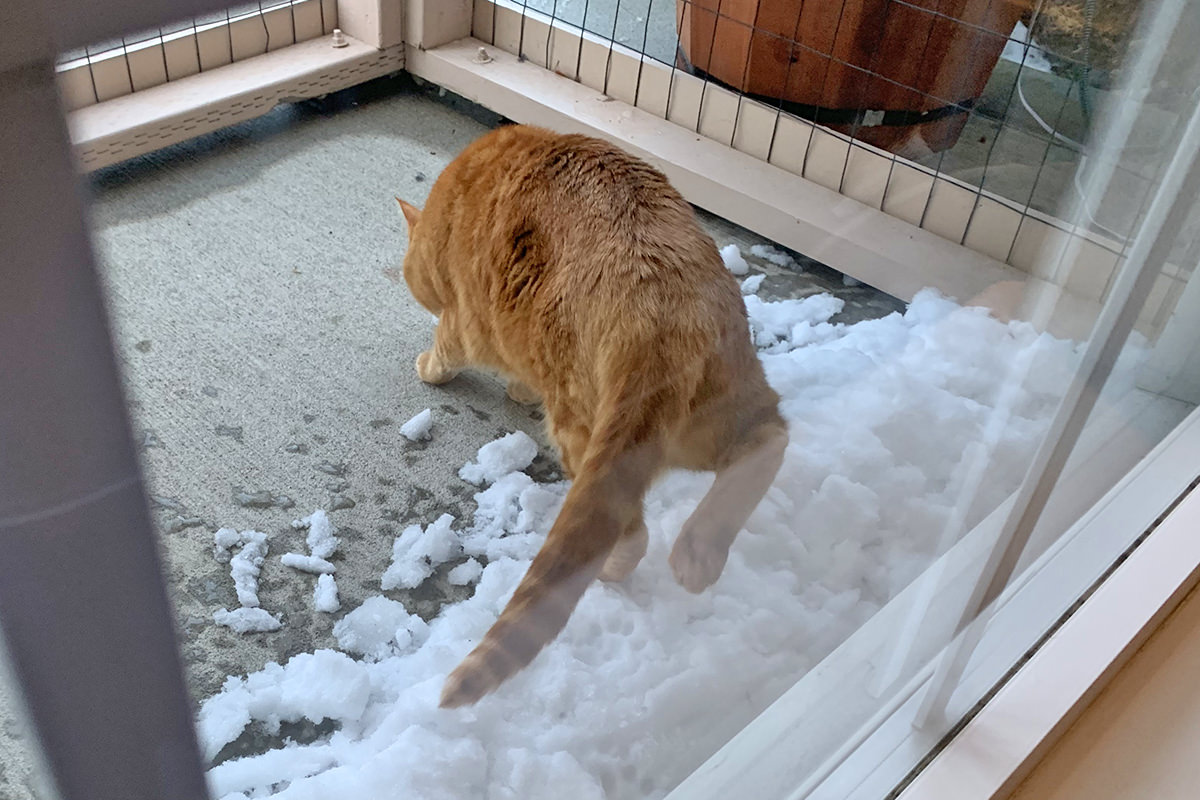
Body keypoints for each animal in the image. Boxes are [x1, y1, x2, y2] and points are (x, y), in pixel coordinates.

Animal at [396, 123, 787, 705]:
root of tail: (659, 320)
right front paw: (519, 391)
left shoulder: (467, 321)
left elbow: (446, 351)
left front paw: (433, 369)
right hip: (724, 414)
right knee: (771, 437)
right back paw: (698, 553)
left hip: (583, 433)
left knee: (626, 530)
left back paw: (619, 566)